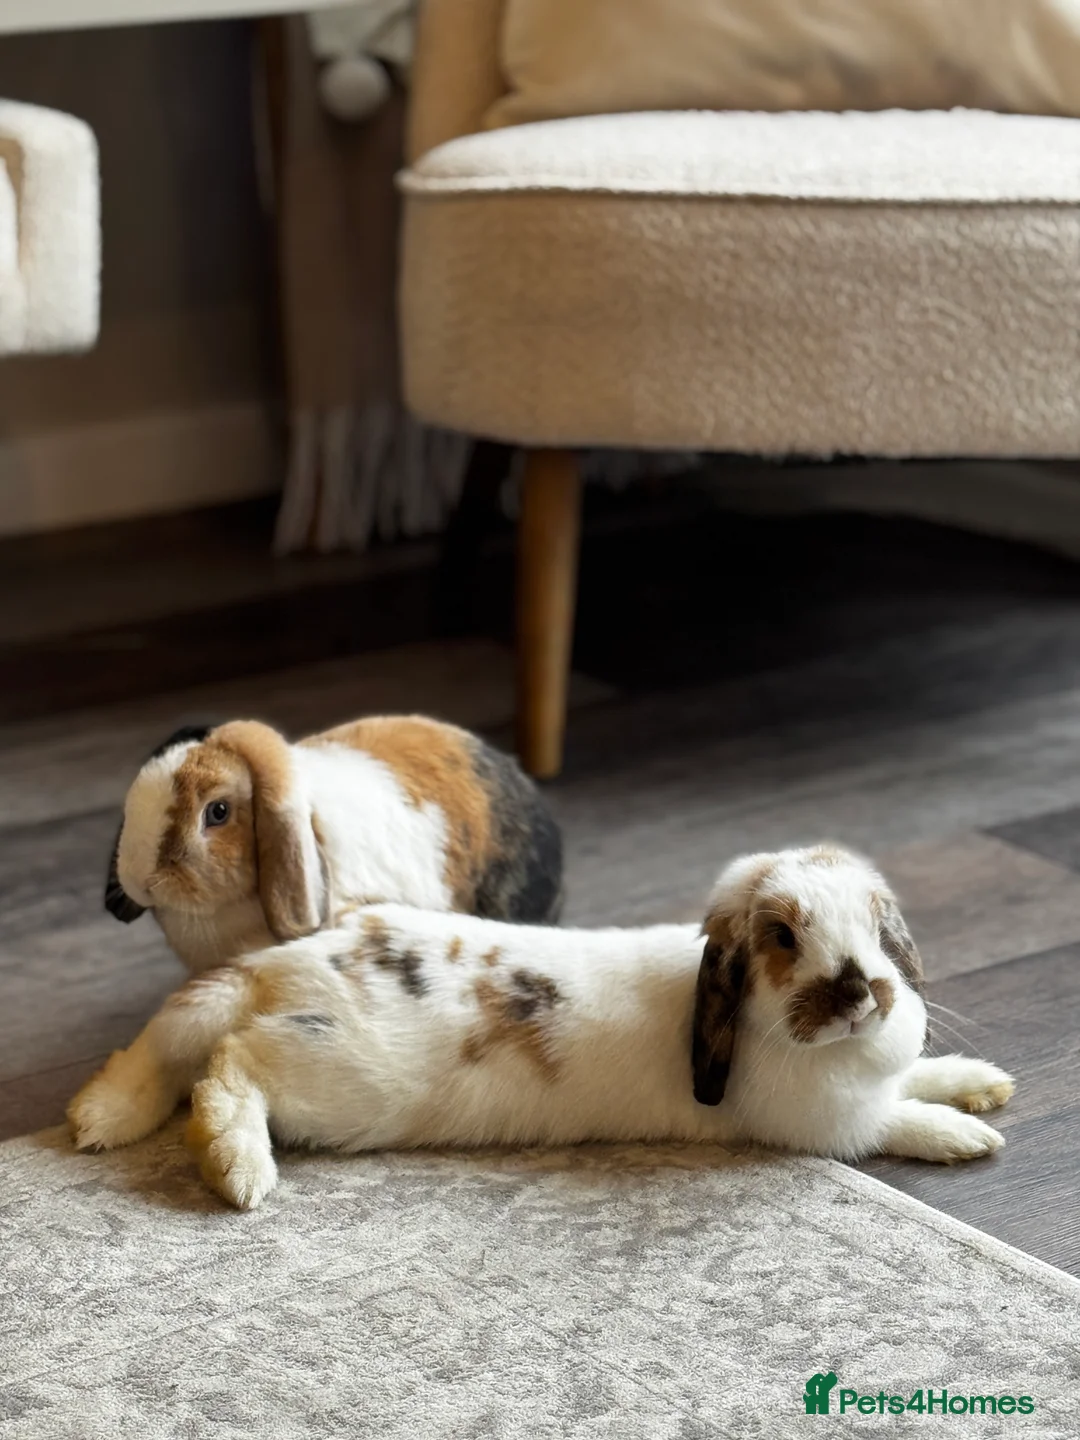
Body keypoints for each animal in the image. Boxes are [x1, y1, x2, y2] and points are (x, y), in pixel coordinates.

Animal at [71, 843, 1014, 1209]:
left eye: (879, 924)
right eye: (783, 937)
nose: (862, 992)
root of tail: (274, 968)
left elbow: (921, 1079)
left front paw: (985, 1086)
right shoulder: (833, 1125)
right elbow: (898, 1121)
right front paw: (966, 1141)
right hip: (332, 1078)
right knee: (228, 1070)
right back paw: (239, 1171)